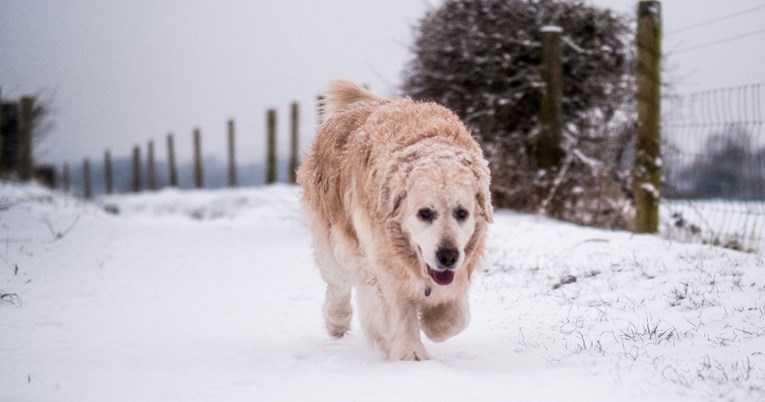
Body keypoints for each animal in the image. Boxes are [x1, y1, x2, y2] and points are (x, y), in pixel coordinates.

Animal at [296, 80, 492, 360]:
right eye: (425, 213)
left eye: (462, 213)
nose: (447, 256)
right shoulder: (383, 264)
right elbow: (399, 312)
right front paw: (411, 352)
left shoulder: (463, 263)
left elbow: (456, 319)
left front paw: (433, 321)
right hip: (334, 243)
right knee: (338, 284)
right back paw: (337, 321)